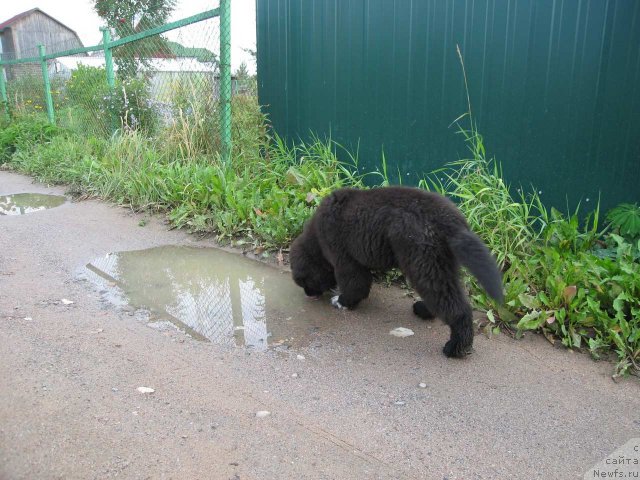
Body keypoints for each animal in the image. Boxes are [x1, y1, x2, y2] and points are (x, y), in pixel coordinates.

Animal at [290, 186, 504, 358]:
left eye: (305, 282)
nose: (308, 294)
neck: (316, 239)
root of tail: (449, 221)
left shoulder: (344, 257)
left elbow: (355, 284)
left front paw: (342, 301)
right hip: (441, 263)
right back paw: (425, 310)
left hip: (423, 261)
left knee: (456, 307)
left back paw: (456, 347)